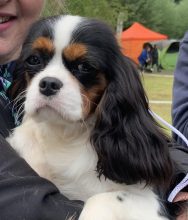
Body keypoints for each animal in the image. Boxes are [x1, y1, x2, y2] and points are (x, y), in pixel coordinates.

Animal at [8, 15, 176, 218]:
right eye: (34, 60)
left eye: (84, 66)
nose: (48, 83)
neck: (63, 134)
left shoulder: (148, 201)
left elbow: (99, 200)